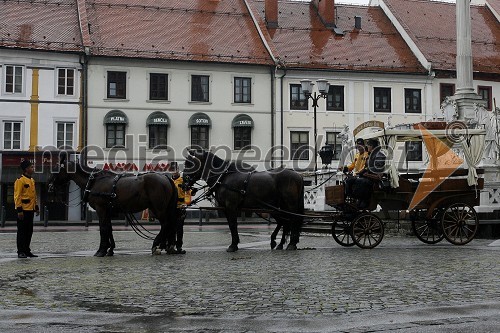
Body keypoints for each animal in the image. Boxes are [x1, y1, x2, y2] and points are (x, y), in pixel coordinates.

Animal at [48, 156, 178, 256]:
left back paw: (156, 245)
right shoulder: (107, 211)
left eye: (57, 170)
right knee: (169, 225)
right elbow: (109, 229)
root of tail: (166, 177)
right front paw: (110, 249)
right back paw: (166, 246)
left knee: (166, 224)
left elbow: (103, 229)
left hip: (158, 209)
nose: (50, 186)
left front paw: (101, 250)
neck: (94, 182)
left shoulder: (101, 209)